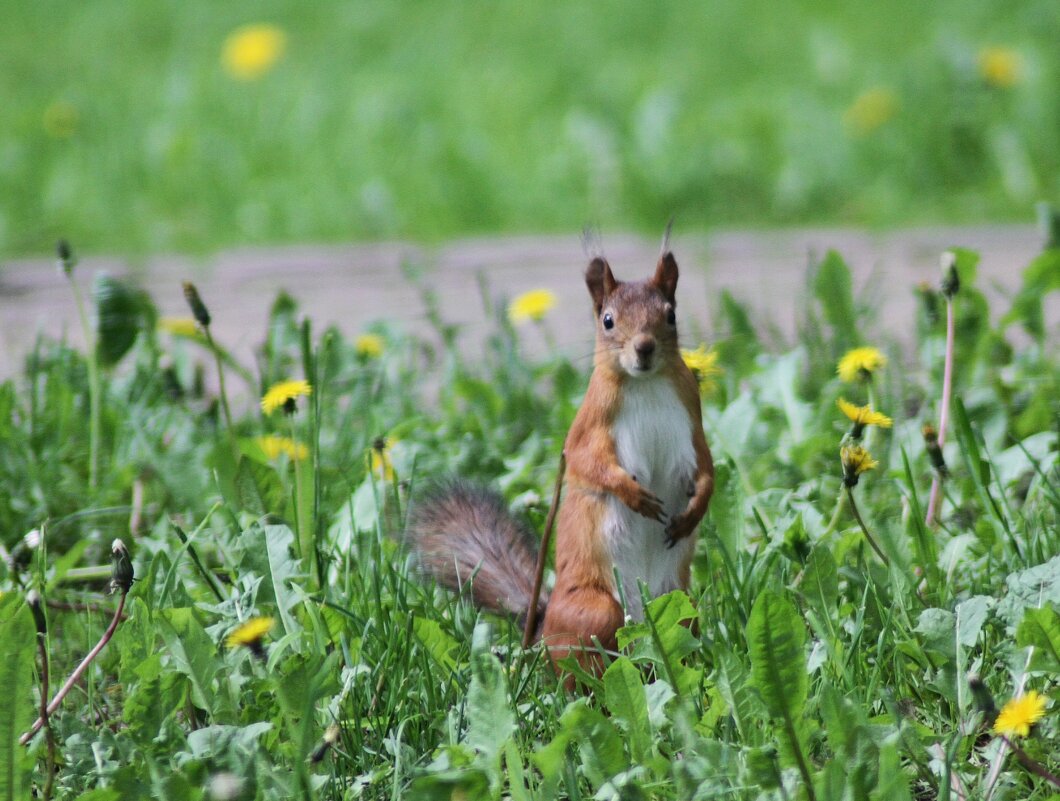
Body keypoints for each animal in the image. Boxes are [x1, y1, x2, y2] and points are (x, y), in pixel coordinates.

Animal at [409, 243, 716, 673]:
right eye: (607, 320)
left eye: (670, 314)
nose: (644, 348)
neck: (646, 383)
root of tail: (540, 628)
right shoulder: (588, 427)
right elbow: (588, 465)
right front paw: (633, 495)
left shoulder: (693, 423)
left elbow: (707, 469)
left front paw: (694, 510)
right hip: (596, 611)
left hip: (681, 605)